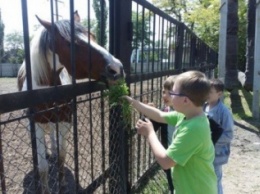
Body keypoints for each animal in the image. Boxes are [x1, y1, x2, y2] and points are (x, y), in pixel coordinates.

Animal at [17, 15, 125, 194]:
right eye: (70, 43)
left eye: (92, 36)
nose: (117, 69)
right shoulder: (37, 124)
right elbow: (43, 166)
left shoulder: (65, 119)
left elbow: (62, 155)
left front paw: (62, 184)